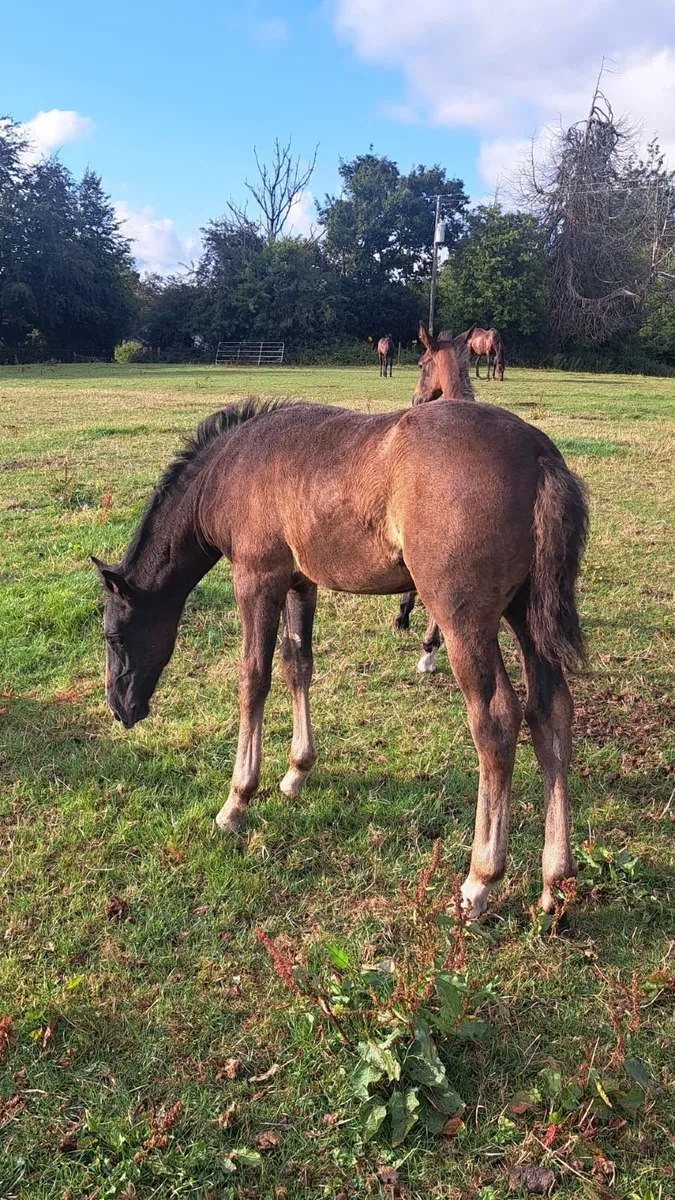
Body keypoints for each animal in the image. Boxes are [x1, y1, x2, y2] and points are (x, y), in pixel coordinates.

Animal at [93, 371, 588, 917]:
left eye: (113, 634)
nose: (120, 708)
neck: (230, 469)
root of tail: (540, 455)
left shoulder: (256, 578)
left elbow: (253, 679)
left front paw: (237, 800)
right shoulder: (299, 582)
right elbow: (298, 665)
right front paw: (296, 772)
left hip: (463, 618)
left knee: (497, 720)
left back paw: (480, 879)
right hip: (525, 613)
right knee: (550, 712)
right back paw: (555, 882)